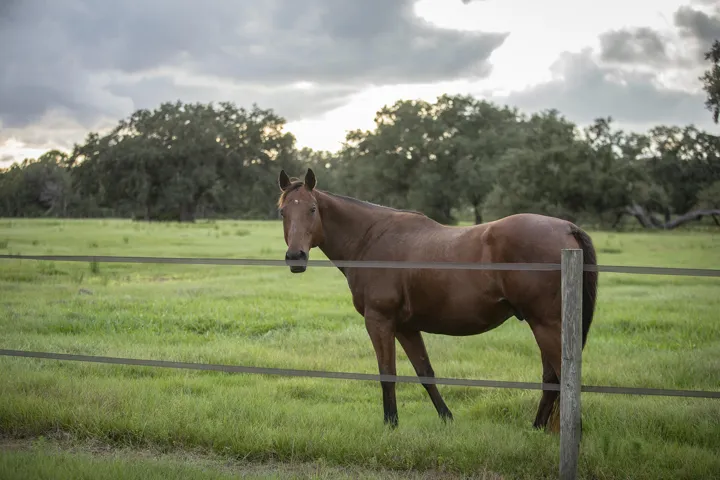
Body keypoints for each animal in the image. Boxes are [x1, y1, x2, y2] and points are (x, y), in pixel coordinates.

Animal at [275, 168, 598, 431]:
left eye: (312, 209)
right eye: (282, 212)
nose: (296, 257)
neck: (371, 240)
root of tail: (567, 227)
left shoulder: (379, 321)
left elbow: (387, 372)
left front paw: (391, 424)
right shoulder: (406, 327)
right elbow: (424, 372)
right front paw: (446, 418)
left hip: (545, 325)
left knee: (562, 377)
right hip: (542, 325)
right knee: (551, 379)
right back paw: (537, 428)